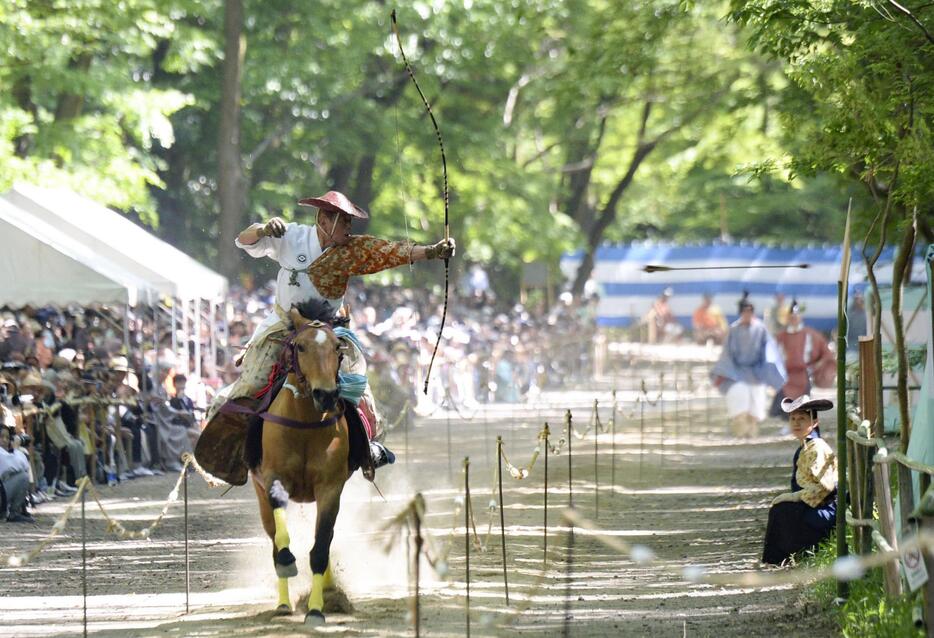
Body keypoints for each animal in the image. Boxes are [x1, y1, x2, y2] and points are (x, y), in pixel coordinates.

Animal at [252, 304, 354, 624]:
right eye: (300, 346)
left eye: (337, 347)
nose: (326, 394)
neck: (305, 424)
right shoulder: (274, 479)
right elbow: (282, 540)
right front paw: (287, 562)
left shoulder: (330, 487)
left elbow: (321, 547)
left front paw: (317, 609)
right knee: (273, 537)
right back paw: (284, 604)